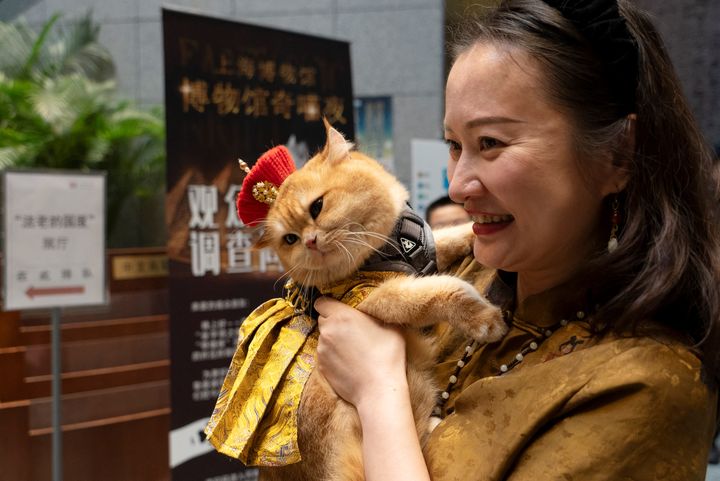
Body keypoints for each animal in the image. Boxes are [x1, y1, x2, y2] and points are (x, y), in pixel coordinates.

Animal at [228, 122, 504, 478]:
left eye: (316, 207)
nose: (310, 241)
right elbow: (441, 292)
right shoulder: (379, 295)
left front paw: (475, 233)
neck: (386, 248)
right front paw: (486, 319)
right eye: (290, 239)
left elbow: (450, 238)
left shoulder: (426, 252)